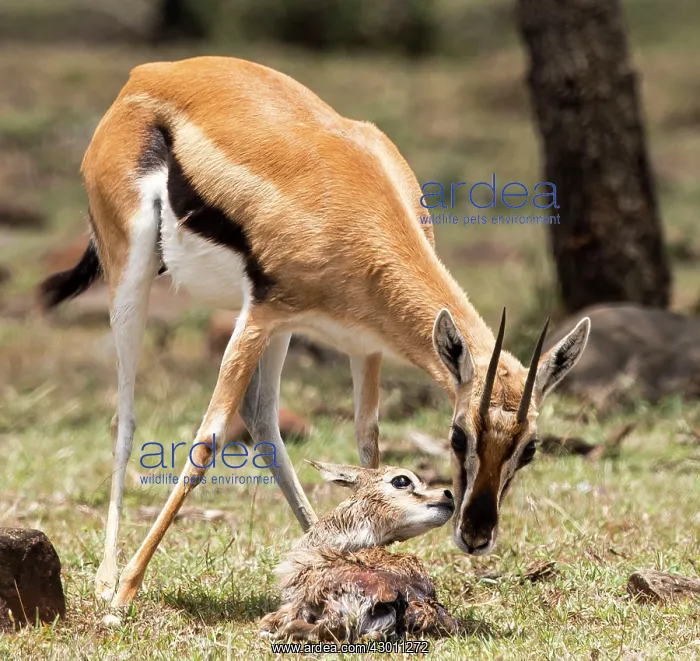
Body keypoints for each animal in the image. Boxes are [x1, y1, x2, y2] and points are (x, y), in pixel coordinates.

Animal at [38, 56, 590, 609]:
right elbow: (205, 443)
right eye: (458, 434)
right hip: (134, 277)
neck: (362, 209)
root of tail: (148, 74)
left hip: (279, 331)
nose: (476, 535)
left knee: (262, 420)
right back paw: (108, 579)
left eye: (530, 447)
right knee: (126, 418)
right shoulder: (261, 315)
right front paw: (126, 592)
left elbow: (367, 445)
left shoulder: (363, 344)